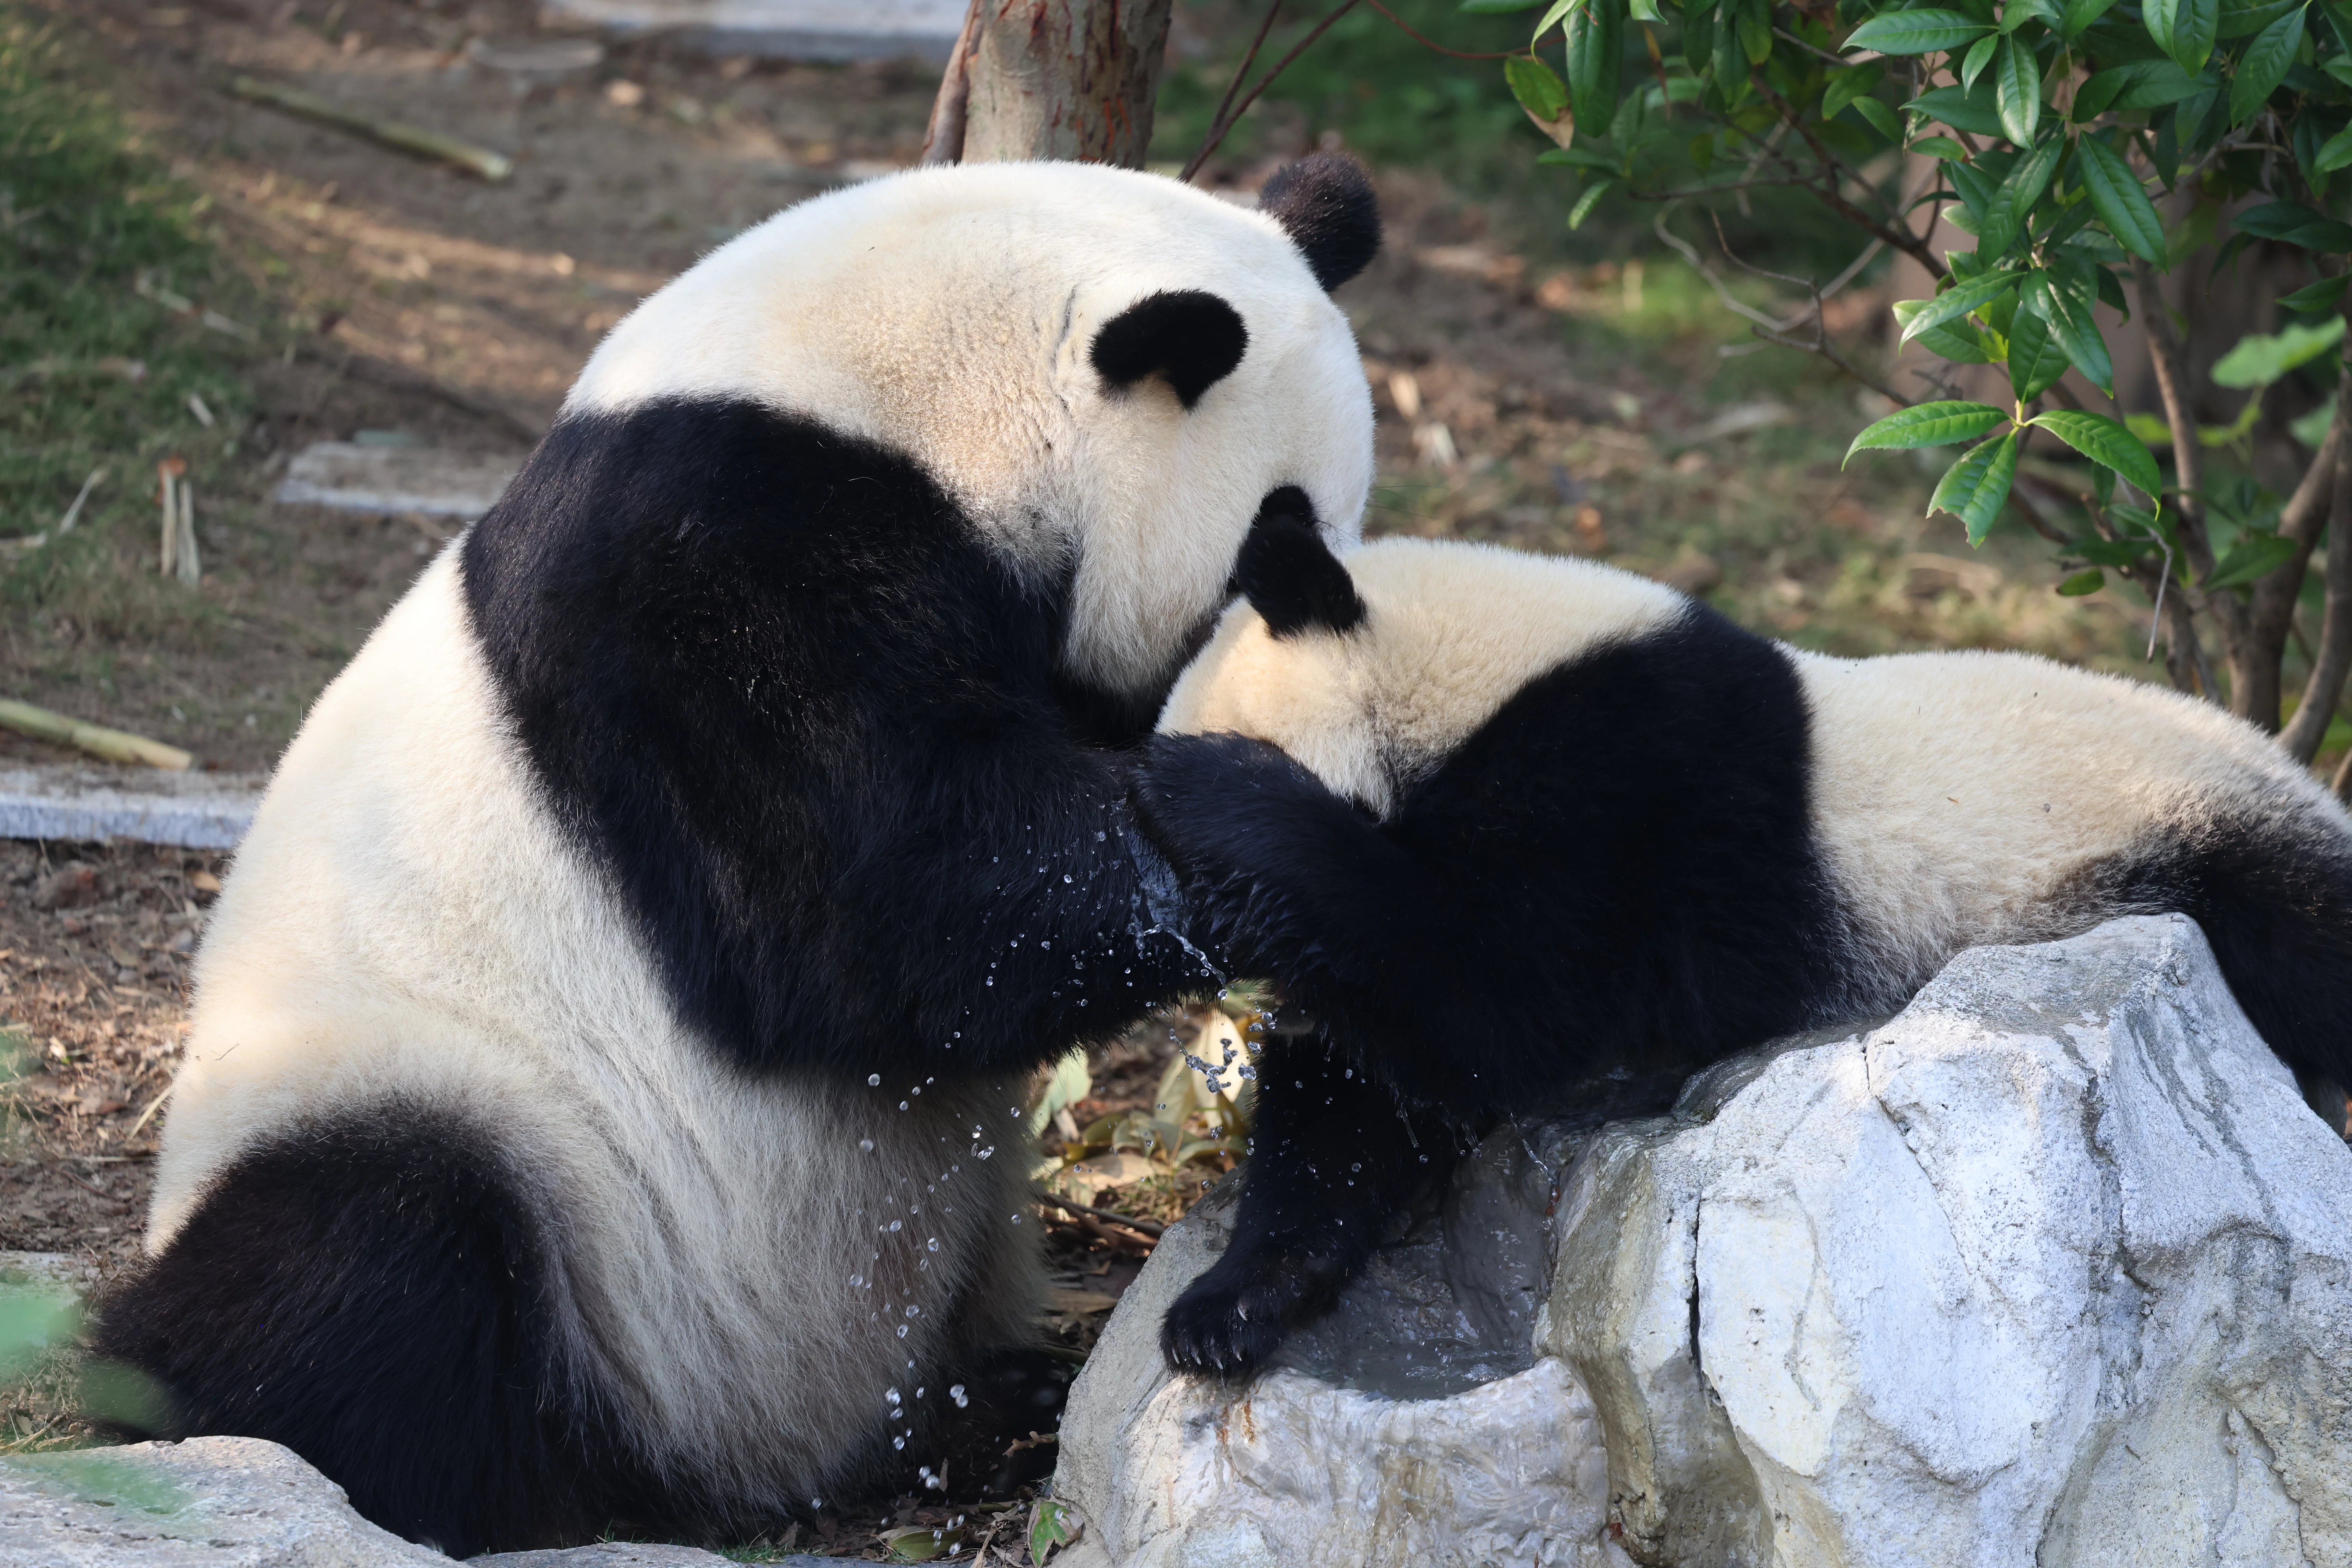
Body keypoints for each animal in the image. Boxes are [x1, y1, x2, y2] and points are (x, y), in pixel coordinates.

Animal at [89, 156, 1381, 1554]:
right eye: (1271, 542)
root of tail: (749, 1465)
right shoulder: (702, 573)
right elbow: (886, 905)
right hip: (442, 1111)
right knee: (358, 1260)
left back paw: (997, 1400)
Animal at [1138, 519, 2352, 1376]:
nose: (1174, 951)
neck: (1467, 673)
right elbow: (1371, 1093)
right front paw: (1229, 1306)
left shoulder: (1629, 778)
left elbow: (1503, 991)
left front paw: (1225, 800)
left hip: (2193, 832)